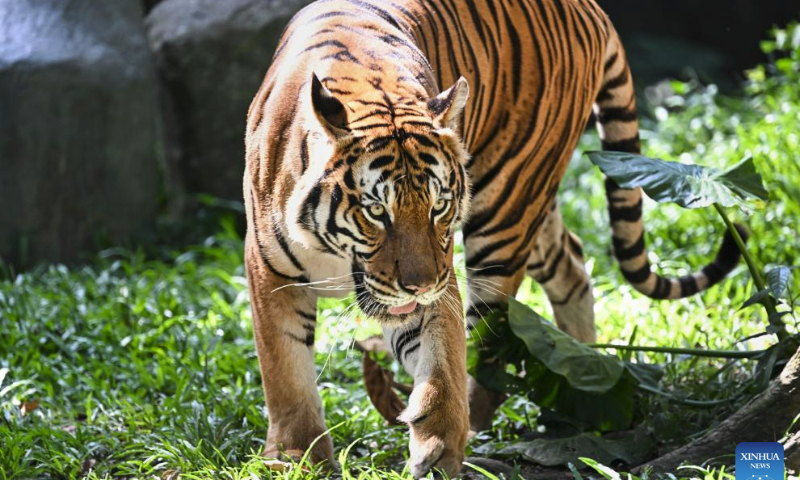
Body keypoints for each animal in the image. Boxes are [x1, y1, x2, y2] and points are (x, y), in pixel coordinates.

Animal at [243, 0, 744, 477]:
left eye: (438, 207)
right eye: (376, 212)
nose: (419, 286)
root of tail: (589, 7)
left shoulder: (440, 273)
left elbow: (442, 355)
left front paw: (439, 445)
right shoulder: (269, 270)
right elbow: (285, 372)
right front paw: (296, 458)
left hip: (509, 205)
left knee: (489, 342)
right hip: (533, 210)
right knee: (572, 262)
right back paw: (585, 373)